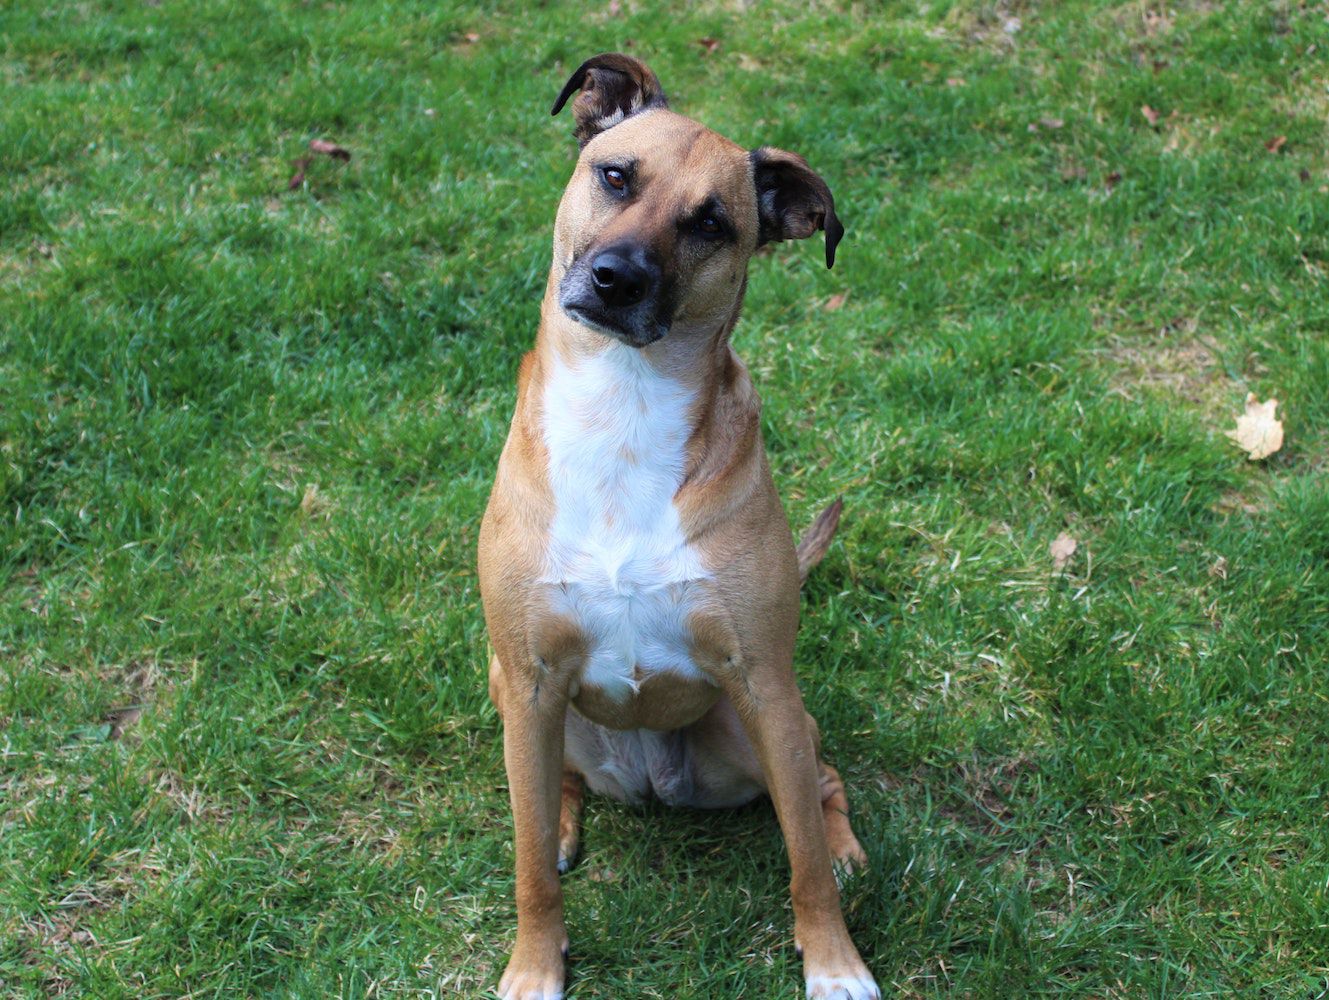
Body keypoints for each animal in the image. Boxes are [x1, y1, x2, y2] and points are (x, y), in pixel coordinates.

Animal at [481, 54, 882, 1000]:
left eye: (711, 224)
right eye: (615, 176)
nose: (617, 277)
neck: (622, 408)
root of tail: (650, 781)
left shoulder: (765, 682)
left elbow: (802, 864)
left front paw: (834, 961)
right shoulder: (528, 678)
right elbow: (526, 866)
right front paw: (533, 963)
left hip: (758, 733)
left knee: (820, 788)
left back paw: (847, 851)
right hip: (514, 699)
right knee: (551, 793)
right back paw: (562, 821)